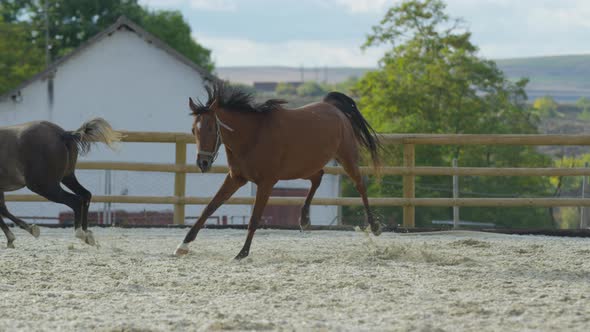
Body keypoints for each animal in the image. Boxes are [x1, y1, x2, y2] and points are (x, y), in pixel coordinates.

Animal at [0, 118, 122, 246]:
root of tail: (62, 134)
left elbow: (2, 210)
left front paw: (26, 231)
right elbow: (3, 209)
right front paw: (14, 236)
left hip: (43, 186)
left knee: (76, 201)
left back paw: (80, 233)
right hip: (67, 177)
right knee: (86, 195)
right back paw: (87, 233)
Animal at [175, 81, 384, 258]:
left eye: (211, 128)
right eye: (194, 130)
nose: (203, 163)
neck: (252, 136)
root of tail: (331, 106)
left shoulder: (266, 183)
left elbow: (254, 218)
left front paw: (242, 253)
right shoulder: (236, 178)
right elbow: (209, 208)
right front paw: (183, 245)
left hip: (346, 158)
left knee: (360, 185)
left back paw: (374, 226)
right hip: (304, 167)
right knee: (318, 177)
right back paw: (304, 218)